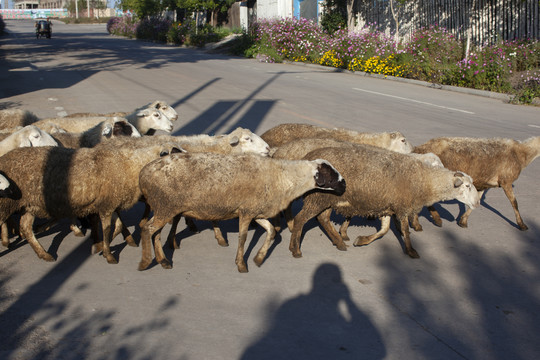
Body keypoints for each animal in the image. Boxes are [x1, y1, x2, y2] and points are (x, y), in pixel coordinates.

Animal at [0, 140, 186, 262]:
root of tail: (4, 159)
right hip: (7, 203)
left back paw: (44, 254)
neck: (130, 165)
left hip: (29, 205)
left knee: (25, 227)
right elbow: (108, 228)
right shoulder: (107, 205)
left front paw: (105, 246)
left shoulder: (109, 202)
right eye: (174, 151)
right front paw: (108, 254)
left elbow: (117, 225)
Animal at [137, 152, 344, 272]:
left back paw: (163, 261)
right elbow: (243, 238)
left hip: (163, 207)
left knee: (155, 233)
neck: (283, 177)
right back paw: (145, 262)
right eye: (331, 174)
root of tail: (143, 173)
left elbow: (272, 232)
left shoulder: (256, 212)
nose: (345, 185)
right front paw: (241, 264)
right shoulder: (245, 211)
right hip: (165, 206)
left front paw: (259, 259)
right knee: (147, 229)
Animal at [286, 145, 480, 260]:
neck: (424, 181)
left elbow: (384, 231)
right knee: (301, 219)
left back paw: (339, 243)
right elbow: (405, 231)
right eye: (467, 186)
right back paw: (295, 249)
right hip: (318, 198)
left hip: (326, 199)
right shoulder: (401, 207)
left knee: (323, 219)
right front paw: (411, 251)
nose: (478, 203)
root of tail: (309, 156)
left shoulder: (388, 206)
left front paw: (361, 240)